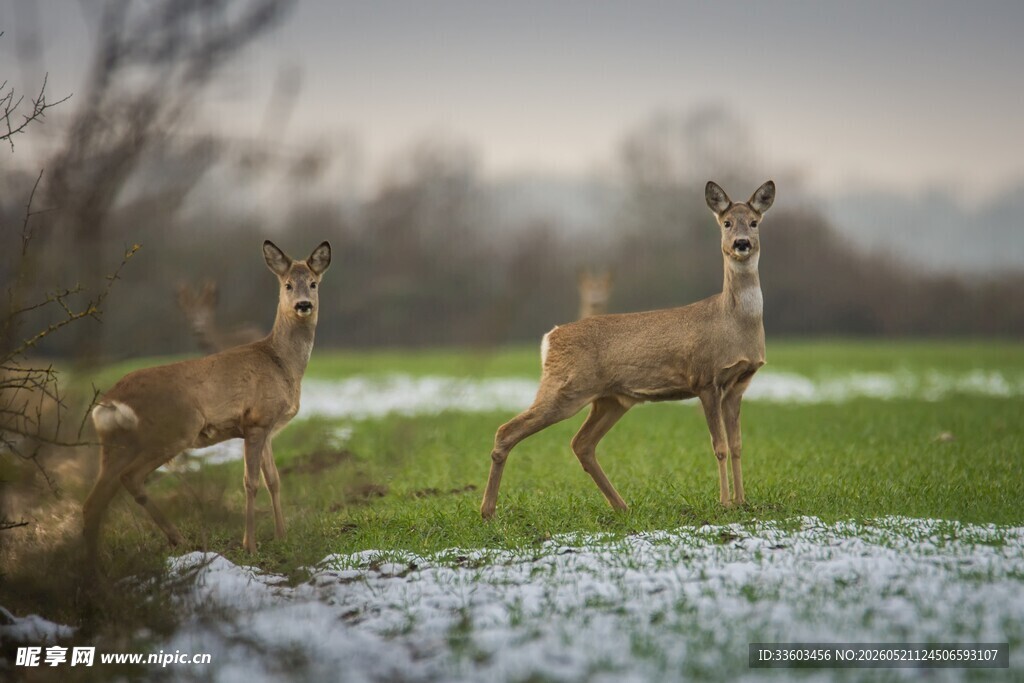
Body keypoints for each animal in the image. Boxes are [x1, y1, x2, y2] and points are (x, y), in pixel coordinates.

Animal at [84, 240, 331, 562]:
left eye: (313, 283)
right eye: (288, 284)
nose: (303, 304)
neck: (281, 363)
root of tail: (110, 402)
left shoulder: (266, 429)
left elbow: (274, 480)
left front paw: (282, 537)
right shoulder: (256, 422)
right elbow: (251, 483)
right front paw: (250, 546)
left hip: (116, 443)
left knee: (93, 501)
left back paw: (96, 561)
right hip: (173, 430)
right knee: (130, 478)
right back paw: (175, 540)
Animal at [481, 181, 774, 519]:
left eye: (754, 222)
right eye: (726, 223)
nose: (741, 243)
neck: (734, 322)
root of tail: (549, 338)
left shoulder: (739, 383)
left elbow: (738, 445)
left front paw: (742, 502)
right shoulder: (705, 380)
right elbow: (720, 446)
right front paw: (725, 503)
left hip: (610, 399)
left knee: (581, 443)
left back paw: (622, 506)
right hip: (565, 388)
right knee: (507, 430)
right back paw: (487, 511)